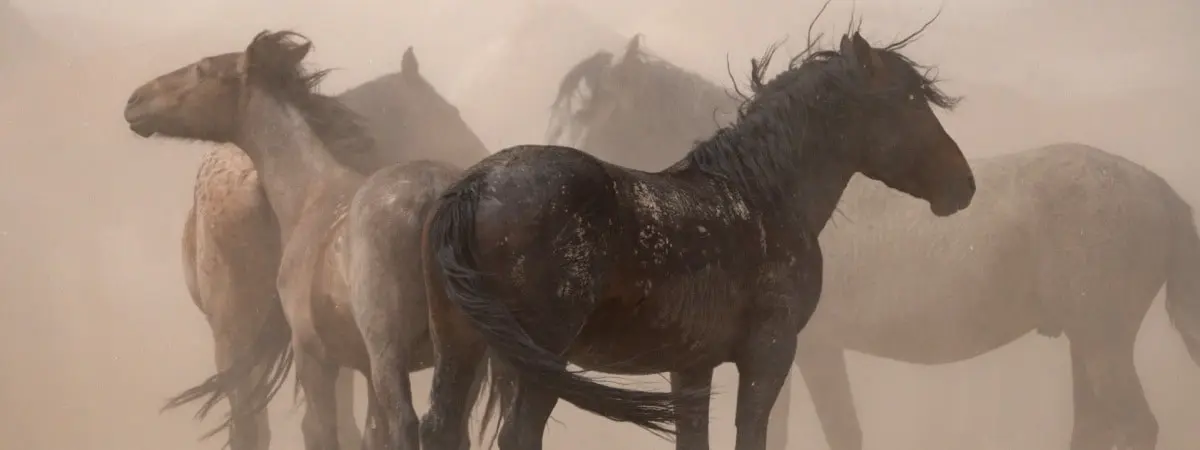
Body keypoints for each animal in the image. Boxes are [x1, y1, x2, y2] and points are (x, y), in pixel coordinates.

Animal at [122, 31, 492, 450]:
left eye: (201, 69)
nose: (134, 101)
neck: (310, 192)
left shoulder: (314, 356)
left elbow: (321, 430)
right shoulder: (359, 365)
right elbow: (368, 433)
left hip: (381, 356)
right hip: (462, 361)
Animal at [418, 20, 976, 450]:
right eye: (908, 101)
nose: (964, 186)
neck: (760, 193)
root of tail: (474, 186)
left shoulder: (692, 367)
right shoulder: (770, 354)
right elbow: (753, 436)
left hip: (462, 346)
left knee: (441, 427)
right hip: (538, 359)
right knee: (517, 434)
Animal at [551, 31, 1200, 450]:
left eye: (597, 115)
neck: (759, 193)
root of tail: (1162, 193)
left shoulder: (804, 351)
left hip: (1102, 341)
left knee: (1134, 426)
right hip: (1085, 342)